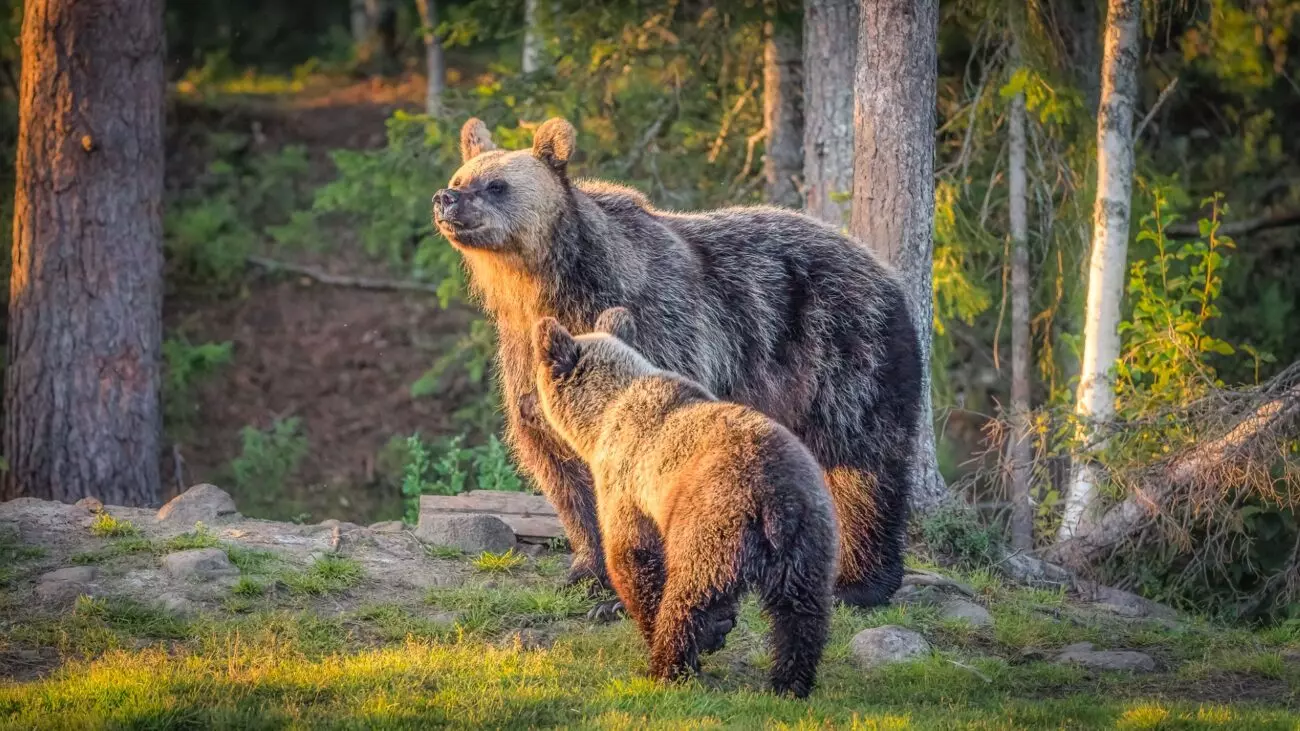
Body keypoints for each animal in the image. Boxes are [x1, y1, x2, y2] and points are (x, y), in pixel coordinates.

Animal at [431, 116, 920, 611]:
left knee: (864, 460)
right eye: (460, 177)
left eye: (496, 185)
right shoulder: (527, 358)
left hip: (843, 350)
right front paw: (588, 573)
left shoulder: (662, 330)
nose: (446, 198)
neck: (547, 290)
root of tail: (883, 269)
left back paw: (859, 582)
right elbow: (564, 471)